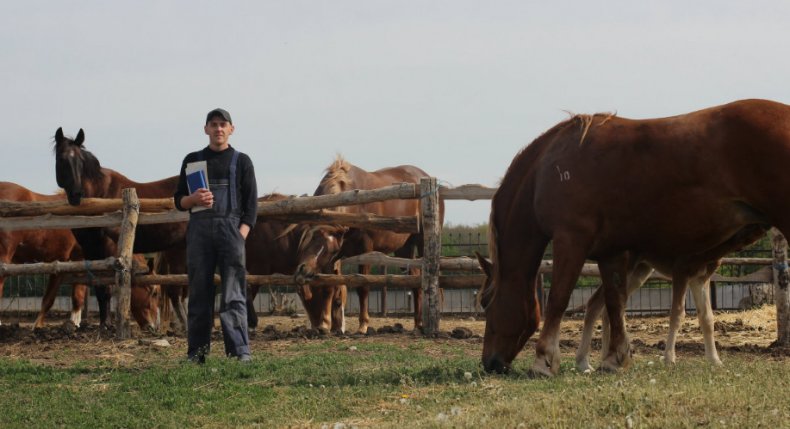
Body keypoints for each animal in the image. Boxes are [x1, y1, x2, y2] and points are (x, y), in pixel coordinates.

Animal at [54, 127, 189, 328]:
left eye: (80, 161)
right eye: (62, 159)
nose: (77, 195)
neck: (101, 194)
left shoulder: (107, 249)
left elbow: (108, 289)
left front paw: (108, 325)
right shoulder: (90, 250)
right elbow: (100, 288)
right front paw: (104, 324)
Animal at [292, 155, 442, 332]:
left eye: (330, 250)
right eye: (311, 239)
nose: (303, 270)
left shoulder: (364, 251)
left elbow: (362, 287)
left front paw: (363, 325)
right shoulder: (333, 259)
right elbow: (329, 286)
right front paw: (325, 323)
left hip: (422, 244)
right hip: (404, 249)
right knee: (415, 279)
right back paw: (417, 323)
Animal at [476, 98, 784, 372]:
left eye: (485, 302)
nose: (490, 363)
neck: (547, 169)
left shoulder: (570, 239)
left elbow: (559, 299)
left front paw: (544, 360)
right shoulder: (611, 251)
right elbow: (615, 302)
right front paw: (615, 359)